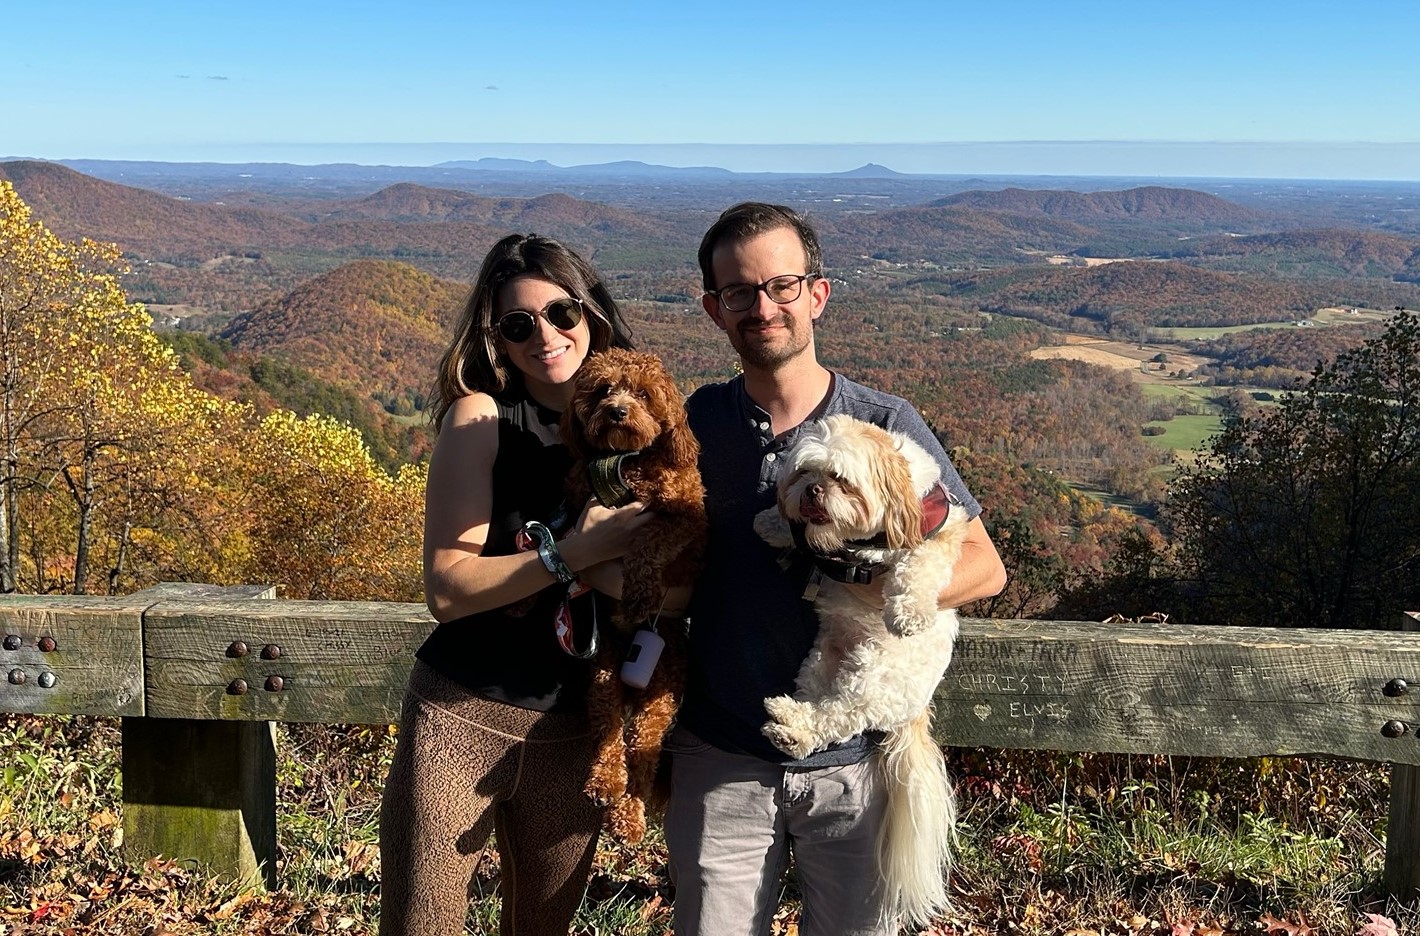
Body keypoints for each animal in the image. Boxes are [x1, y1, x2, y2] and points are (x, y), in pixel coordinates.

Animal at [559, 347, 704, 846]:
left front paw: (640, 594)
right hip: (604, 674)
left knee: (642, 754)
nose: (617, 411)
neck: (625, 463)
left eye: (642, 394)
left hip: (660, 696)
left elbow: (648, 541)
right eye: (604, 389)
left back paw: (629, 816)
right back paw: (605, 784)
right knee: (608, 732)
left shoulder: (686, 516)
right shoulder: (580, 503)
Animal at [749, 414, 971, 931]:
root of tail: (915, 712)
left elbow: (919, 565)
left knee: (841, 714)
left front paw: (908, 612)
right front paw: (771, 522)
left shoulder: (938, 535)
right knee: (819, 706)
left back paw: (792, 727)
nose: (812, 491)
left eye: (840, 479)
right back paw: (789, 723)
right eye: (805, 473)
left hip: (873, 675)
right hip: (821, 658)